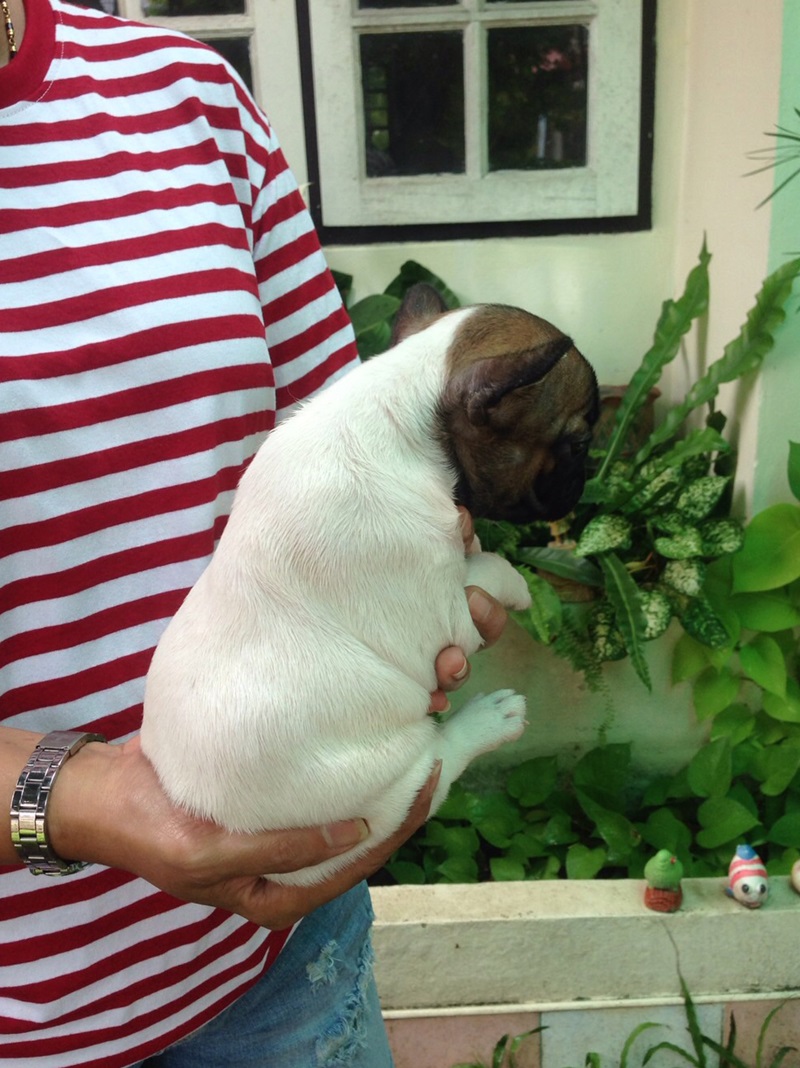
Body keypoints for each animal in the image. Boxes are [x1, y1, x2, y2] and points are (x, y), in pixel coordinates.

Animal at [141, 284, 599, 885]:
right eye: (577, 444)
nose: (587, 476)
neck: (403, 405)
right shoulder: (443, 608)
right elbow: (486, 571)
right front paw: (516, 582)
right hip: (386, 791)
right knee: (439, 764)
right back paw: (488, 720)